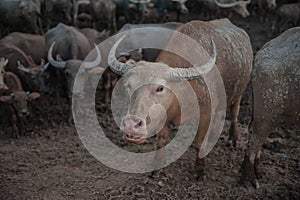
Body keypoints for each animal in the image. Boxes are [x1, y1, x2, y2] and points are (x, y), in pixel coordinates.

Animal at [108, 19, 253, 178]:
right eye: (129, 85)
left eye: (160, 88)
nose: (131, 125)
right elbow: (161, 140)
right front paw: (157, 167)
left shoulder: (206, 114)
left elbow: (199, 142)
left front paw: (200, 168)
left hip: (239, 92)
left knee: (234, 113)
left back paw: (233, 138)